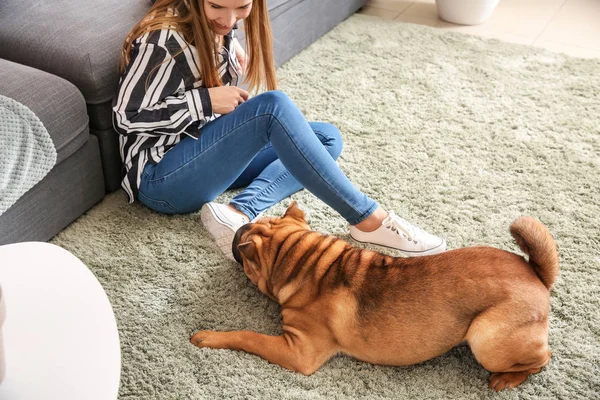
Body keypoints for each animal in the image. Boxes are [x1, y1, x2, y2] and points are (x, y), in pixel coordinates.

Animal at [191, 202, 556, 390]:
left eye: (245, 247)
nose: (238, 230)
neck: (306, 262)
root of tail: (536, 274)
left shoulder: (297, 351)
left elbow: (248, 336)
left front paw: (209, 336)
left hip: (487, 340)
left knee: (542, 359)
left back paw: (507, 379)